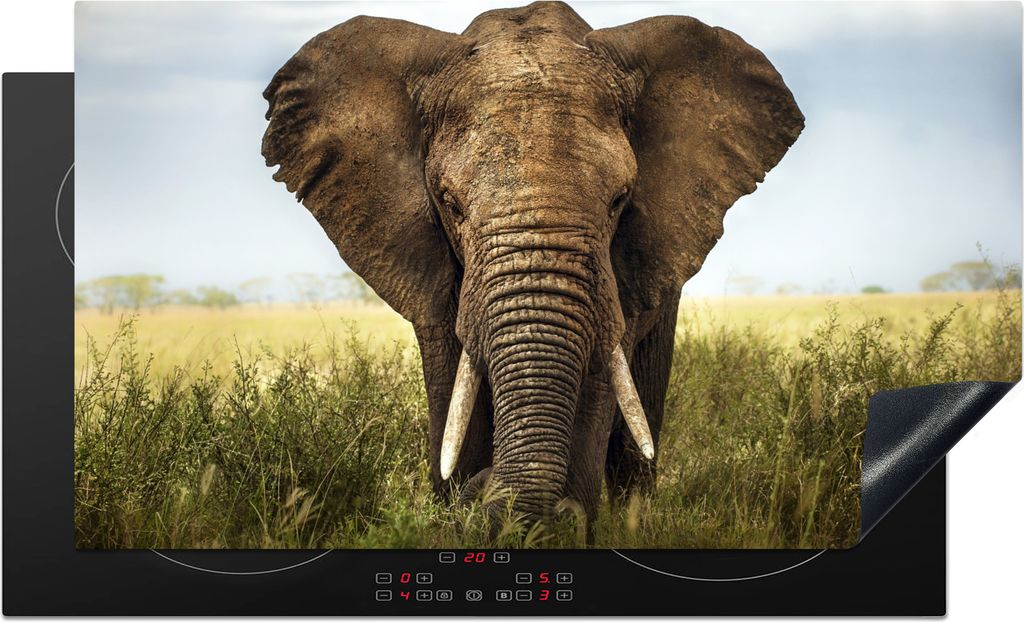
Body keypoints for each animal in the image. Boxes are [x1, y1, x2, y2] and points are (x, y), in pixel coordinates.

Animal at [262, 1, 802, 533]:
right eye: (450, 204)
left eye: (619, 200)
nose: (484, 490)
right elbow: (451, 384)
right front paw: (461, 502)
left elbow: (600, 378)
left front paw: (564, 519)